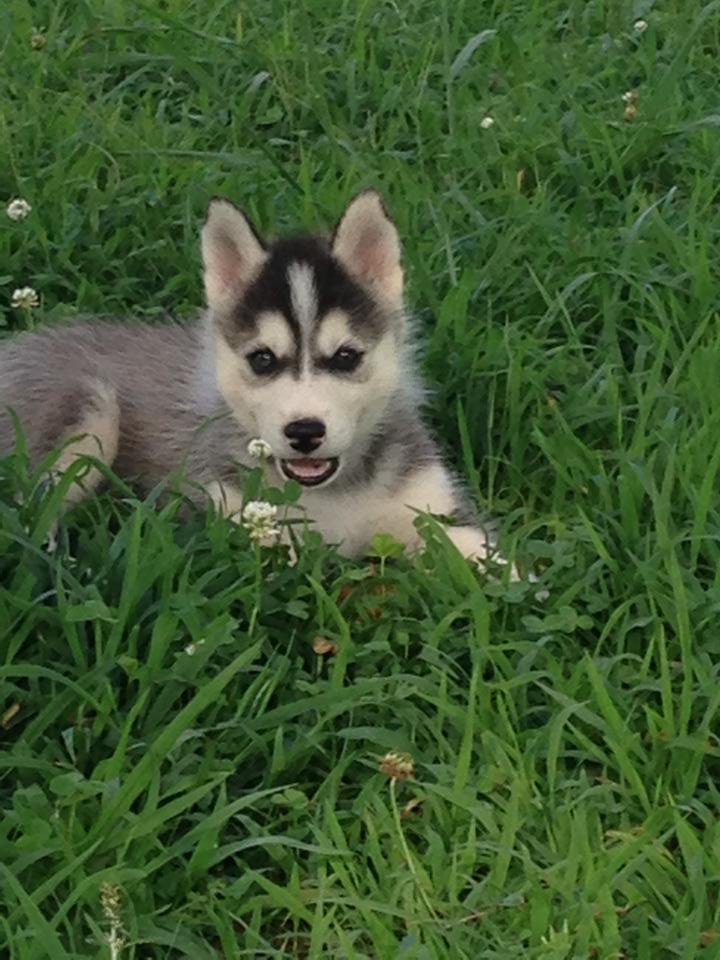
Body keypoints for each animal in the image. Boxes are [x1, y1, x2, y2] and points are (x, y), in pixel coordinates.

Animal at [1, 188, 500, 564]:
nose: (304, 432)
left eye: (346, 356)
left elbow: (493, 561)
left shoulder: (435, 509)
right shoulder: (237, 518)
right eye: (262, 359)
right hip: (87, 413)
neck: (332, 493)